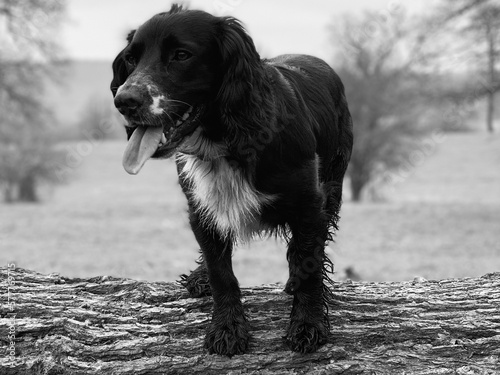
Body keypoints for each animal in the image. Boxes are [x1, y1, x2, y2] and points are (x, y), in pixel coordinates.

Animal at [111, 4, 354, 356]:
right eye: (131, 58)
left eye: (181, 55)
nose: (124, 101)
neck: (225, 140)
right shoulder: (201, 207)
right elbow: (220, 273)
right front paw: (227, 328)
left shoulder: (310, 204)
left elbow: (309, 264)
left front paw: (308, 325)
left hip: (334, 177)